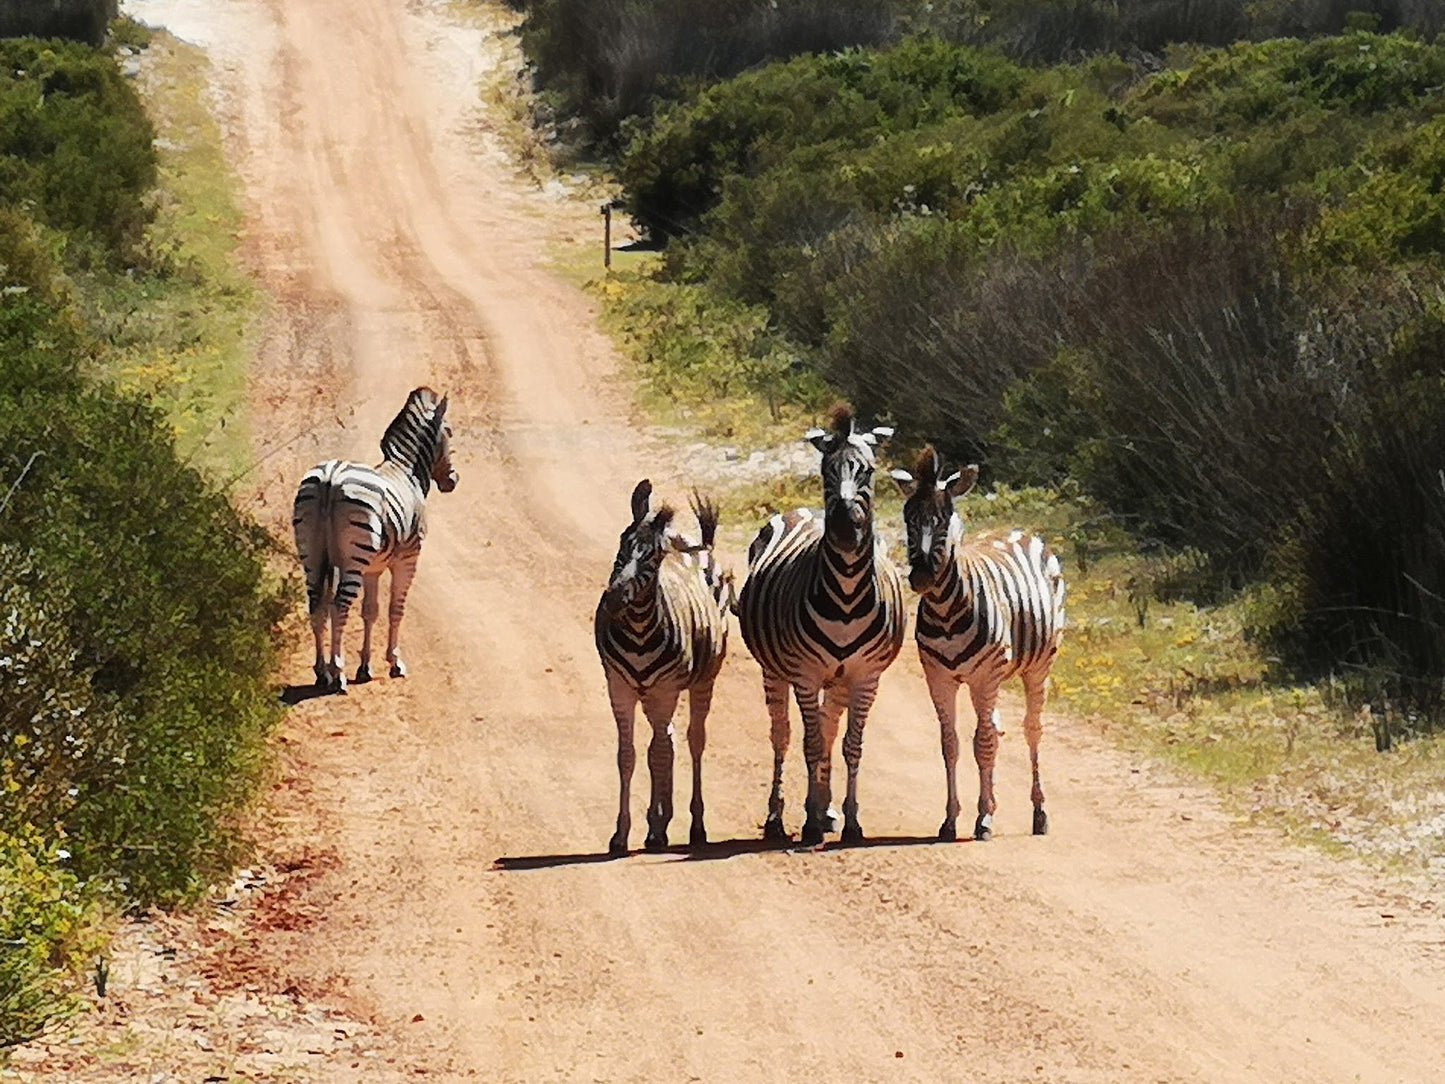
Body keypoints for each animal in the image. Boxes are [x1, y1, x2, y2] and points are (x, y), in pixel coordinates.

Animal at [290, 387, 453, 696]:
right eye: (449, 432)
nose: (452, 481)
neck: (406, 471)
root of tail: (331, 478)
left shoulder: (373, 568)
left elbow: (370, 612)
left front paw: (365, 667)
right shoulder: (407, 559)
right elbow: (395, 610)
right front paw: (394, 663)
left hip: (312, 555)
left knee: (317, 605)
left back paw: (322, 672)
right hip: (354, 560)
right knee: (339, 607)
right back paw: (338, 674)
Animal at [598, 482, 734, 855]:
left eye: (650, 558)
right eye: (621, 547)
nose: (612, 601)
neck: (639, 629)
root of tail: (688, 540)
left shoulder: (665, 689)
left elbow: (658, 754)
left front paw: (657, 832)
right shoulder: (620, 688)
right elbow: (628, 756)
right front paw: (621, 834)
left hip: (701, 681)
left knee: (692, 740)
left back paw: (694, 827)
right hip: (651, 694)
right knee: (666, 741)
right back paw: (661, 819)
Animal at [734, 407, 901, 849]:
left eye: (868, 471)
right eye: (826, 470)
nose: (844, 528)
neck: (846, 593)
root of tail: (805, 511)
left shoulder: (865, 676)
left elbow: (850, 745)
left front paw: (850, 821)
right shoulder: (805, 674)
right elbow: (809, 744)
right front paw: (808, 822)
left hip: (838, 678)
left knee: (829, 729)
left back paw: (825, 810)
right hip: (774, 670)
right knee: (782, 735)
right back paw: (778, 817)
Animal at [884, 445, 1069, 844]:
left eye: (943, 520)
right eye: (908, 520)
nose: (921, 578)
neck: (945, 610)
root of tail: (1018, 530)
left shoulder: (984, 677)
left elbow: (981, 744)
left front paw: (983, 819)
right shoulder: (938, 678)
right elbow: (950, 744)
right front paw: (951, 819)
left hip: (1038, 666)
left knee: (1030, 729)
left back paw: (1039, 813)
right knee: (995, 730)